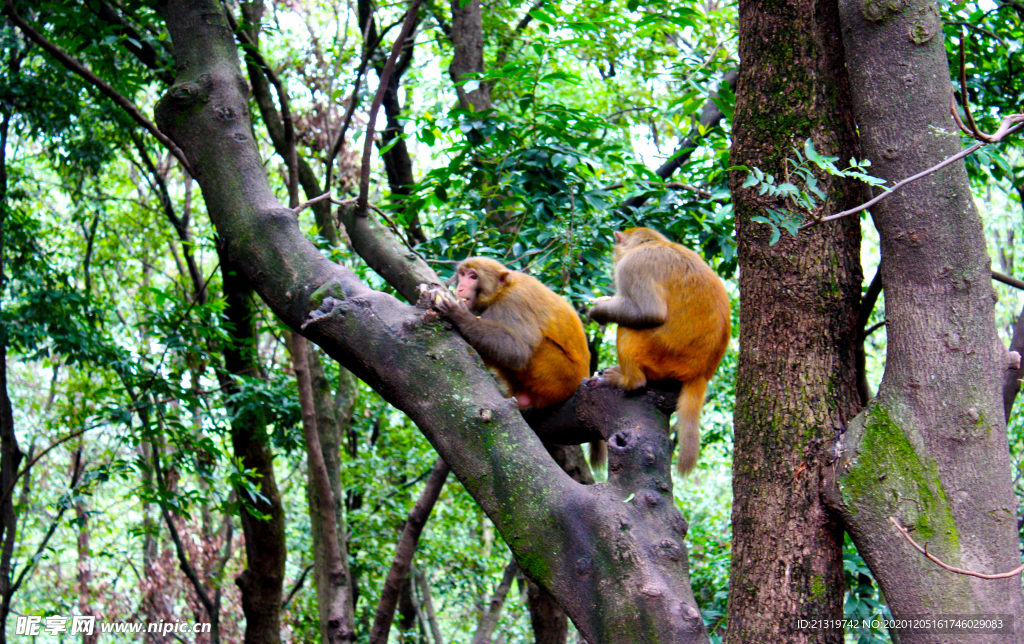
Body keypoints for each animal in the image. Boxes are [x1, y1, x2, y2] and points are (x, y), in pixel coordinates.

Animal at [434, 254, 593, 409]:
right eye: (462, 274)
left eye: (473, 277)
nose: (460, 288)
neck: (502, 290)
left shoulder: (515, 301)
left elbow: (518, 351)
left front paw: (459, 314)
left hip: (560, 377)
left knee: (538, 346)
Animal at [589, 226, 733, 473]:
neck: (651, 243)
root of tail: (700, 373)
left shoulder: (632, 266)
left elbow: (649, 312)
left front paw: (598, 310)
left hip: (659, 359)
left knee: (628, 327)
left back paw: (629, 380)